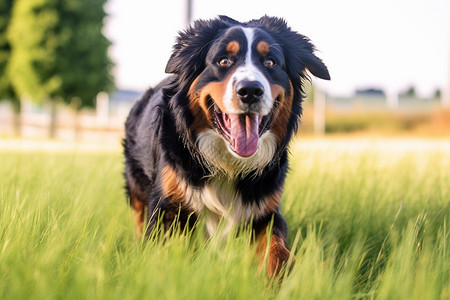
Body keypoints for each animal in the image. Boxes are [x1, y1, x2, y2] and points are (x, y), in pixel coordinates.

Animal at [124, 14, 330, 276]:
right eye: (223, 61)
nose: (250, 91)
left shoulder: (265, 210)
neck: (229, 163)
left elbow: (277, 251)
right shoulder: (167, 206)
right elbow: (161, 255)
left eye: (271, 62)